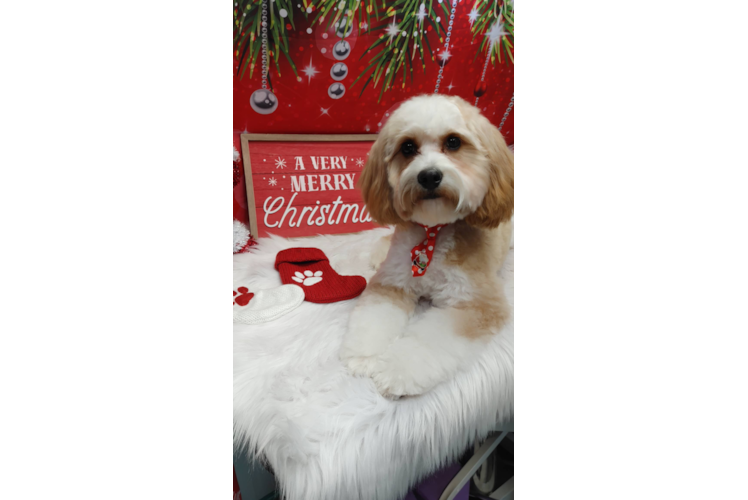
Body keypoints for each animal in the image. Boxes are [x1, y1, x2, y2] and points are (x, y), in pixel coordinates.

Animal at [340, 94, 512, 398]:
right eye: (408, 147)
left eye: (453, 142)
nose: (429, 176)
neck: (433, 232)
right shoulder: (391, 282)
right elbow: (373, 319)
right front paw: (365, 357)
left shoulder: (478, 304)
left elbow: (430, 342)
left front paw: (395, 370)